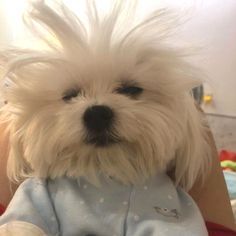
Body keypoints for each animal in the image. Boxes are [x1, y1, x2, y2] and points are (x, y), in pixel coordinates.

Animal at [0, 0, 210, 235]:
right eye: (70, 95)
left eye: (131, 89)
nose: (97, 114)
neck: (103, 177)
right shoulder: (35, 196)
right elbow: (26, 222)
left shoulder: (165, 200)